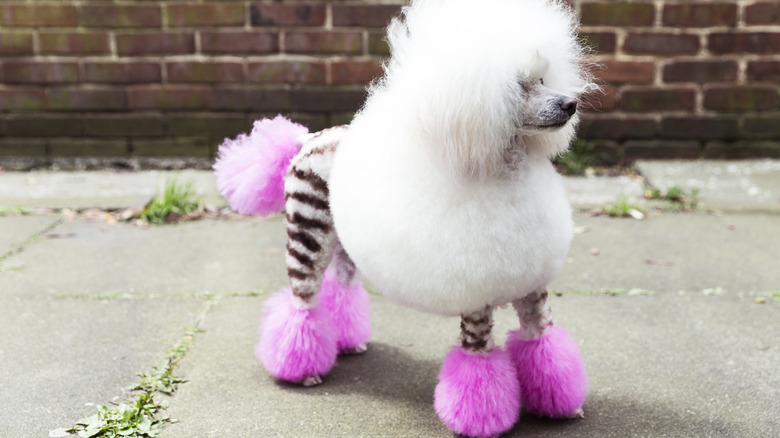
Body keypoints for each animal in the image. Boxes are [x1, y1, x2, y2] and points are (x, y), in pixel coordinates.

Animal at [216, 0, 596, 436]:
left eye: (543, 78)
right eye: (517, 86)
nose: (570, 104)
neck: (503, 171)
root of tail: (306, 139)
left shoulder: (533, 289)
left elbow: (542, 343)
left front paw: (560, 404)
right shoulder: (475, 297)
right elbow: (478, 363)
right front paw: (480, 419)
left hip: (346, 244)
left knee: (341, 287)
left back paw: (346, 341)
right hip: (307, 233)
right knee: (302, 301)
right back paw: (300, 369)